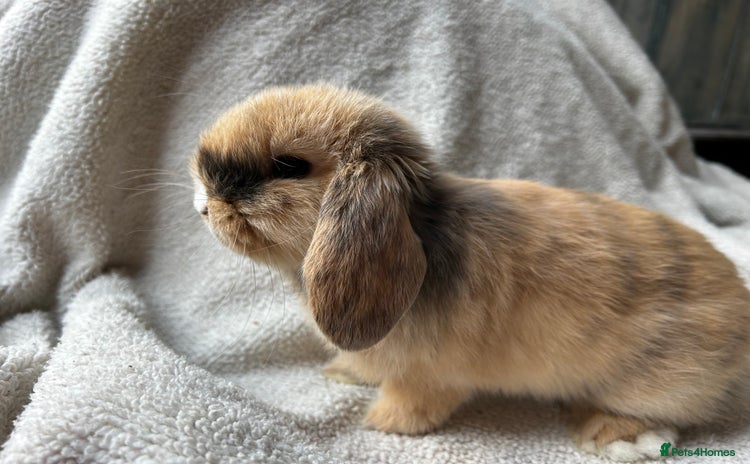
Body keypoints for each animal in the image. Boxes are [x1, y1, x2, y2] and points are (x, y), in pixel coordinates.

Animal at [190, 84, 750, 461]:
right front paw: (343, 371)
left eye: (288, 166)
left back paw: (614, 436)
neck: (422, 226)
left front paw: (383, 425)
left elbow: (414, 401)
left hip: (652, 383)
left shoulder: (428, 374)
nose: (202, 203)